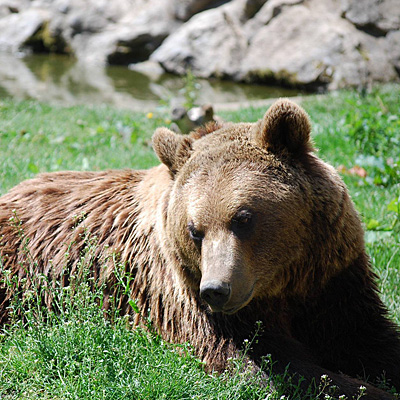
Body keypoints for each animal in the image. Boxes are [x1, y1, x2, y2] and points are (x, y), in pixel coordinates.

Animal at [0, 99, 400, 396]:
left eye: (243, 217)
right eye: (195, 230)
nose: (216, 289)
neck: (281, 288)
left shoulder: (331, 281)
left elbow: (370, 338)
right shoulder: (193, 305)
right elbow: (273, 364)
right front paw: (364, 388)